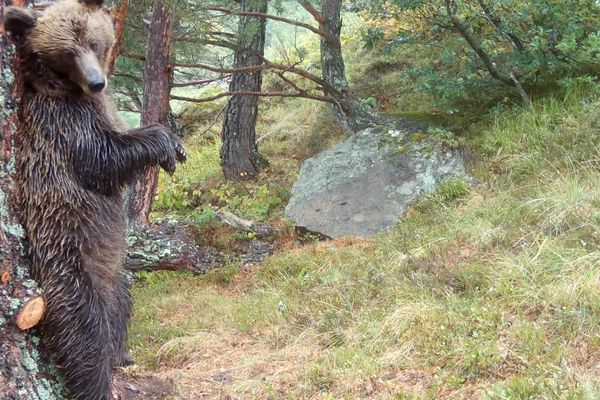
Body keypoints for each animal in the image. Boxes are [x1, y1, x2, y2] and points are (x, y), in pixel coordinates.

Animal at [4, 1, 185, 398]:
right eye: (65, 52)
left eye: (93, 41)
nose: (97, 81)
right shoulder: (63, 125)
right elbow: (102, 159)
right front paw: (165, 143)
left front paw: (176, 147)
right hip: (68, 265)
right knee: (82, 332)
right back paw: (97, 380)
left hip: (115, 275)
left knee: (121, 306)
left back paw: (121, 355)